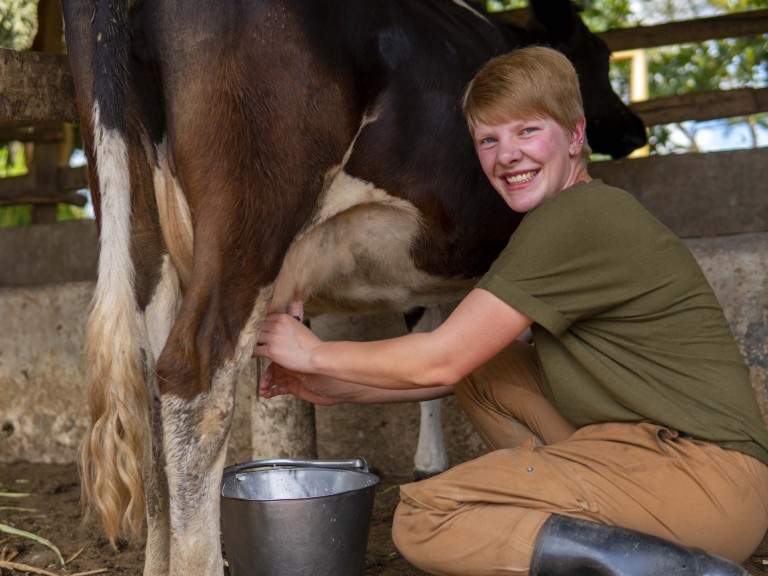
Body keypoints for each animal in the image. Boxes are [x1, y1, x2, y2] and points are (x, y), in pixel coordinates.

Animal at [63, 2, 644, 572]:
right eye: (598, 55)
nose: (636, 130)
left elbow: (426, 335)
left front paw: (428, 459)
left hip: (137, 222)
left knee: (148, 386)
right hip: (253, 204)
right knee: (195, 375)